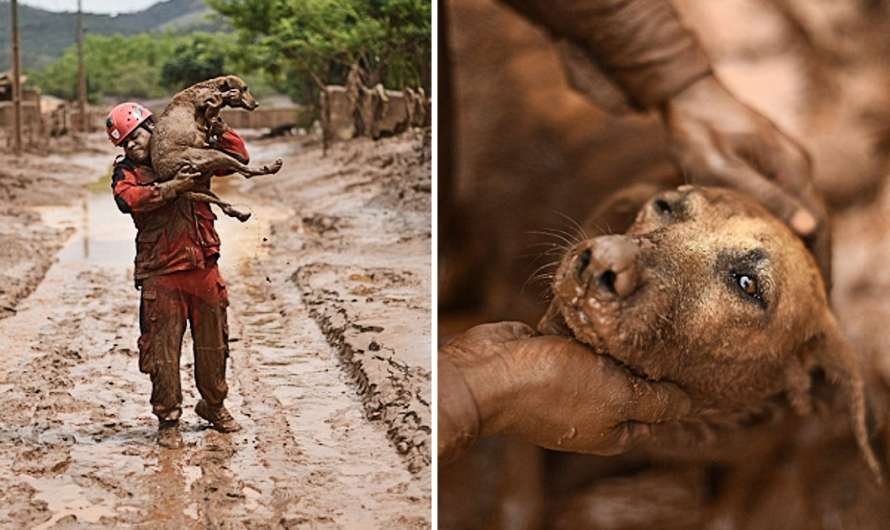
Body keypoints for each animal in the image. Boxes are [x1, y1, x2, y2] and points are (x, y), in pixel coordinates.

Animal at [149, 74, 280, 219]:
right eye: (244, 88)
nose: (257, 104)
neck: (211, 86)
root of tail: (165, 175)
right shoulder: (206, 102)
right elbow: (218, 99)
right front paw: (228, 94)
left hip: (199, 183)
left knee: (225, 204)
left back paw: (239, 213)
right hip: (212, 157)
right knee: (246, 172)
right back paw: (271, 167)